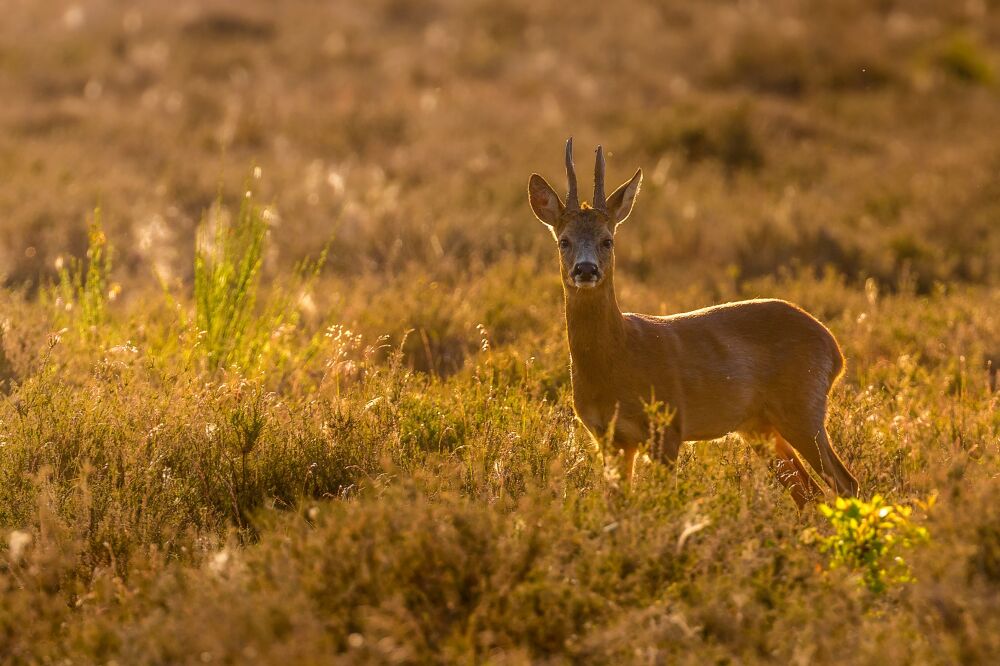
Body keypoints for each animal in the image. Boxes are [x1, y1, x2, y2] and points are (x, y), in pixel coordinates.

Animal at [528, 139, 864, 504]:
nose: (586, 269)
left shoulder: (669, 427)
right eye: (564, 241)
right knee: (809, 493)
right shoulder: (608, 438)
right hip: (758, 425)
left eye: (608, 240)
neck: (618, 358)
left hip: (803, 408)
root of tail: (836, 351)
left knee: (845, 483)